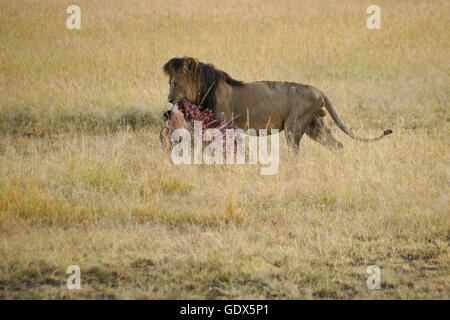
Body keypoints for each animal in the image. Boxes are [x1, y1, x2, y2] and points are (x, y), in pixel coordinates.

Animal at [163, 57, 392, 152]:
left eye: (175, 83)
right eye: (169, 83)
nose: (169, 100)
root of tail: (319, 90)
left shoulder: (223, 125)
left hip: (294, 125)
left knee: (295, 152)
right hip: (314, 126)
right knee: (337, 145)